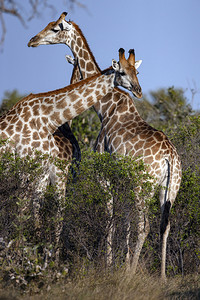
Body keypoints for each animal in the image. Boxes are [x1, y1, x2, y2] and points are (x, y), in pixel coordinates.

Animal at [27, 11, 182, 278]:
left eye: (56, 28)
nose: (32, 40)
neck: (104, 106)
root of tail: (170, 158)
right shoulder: (123, 176)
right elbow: (125, 217)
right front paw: (122, 260)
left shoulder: (104, 171)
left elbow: (110, 212)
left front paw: (110, 264)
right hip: (169, 189)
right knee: (165, 225)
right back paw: (162, 276)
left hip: (144, 184)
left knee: (145, 224)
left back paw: (132, 273)